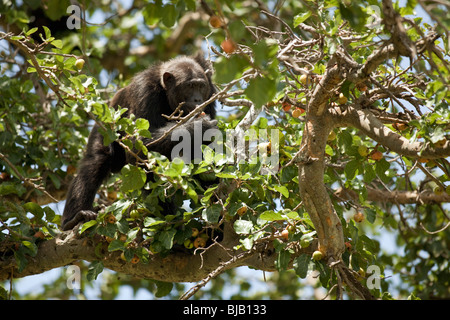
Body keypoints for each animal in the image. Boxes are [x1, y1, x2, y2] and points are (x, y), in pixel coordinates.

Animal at [61, 54, 218, 230]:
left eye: (201, 86)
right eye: (190, 86)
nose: (197, 99)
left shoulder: (211, 94)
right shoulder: (144, 92)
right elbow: (139, 145)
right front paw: (197, 127)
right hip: (105, 126)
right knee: (96, 161)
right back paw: (75, 218)